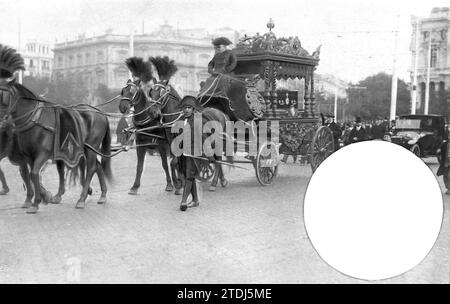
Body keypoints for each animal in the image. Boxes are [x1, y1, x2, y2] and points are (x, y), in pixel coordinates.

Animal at [0, 81, 112, 214]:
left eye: (2, 96)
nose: (2, 123)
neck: (34, 120)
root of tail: (100, 112)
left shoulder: (42, 154)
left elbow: (33, 174)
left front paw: (36, 201)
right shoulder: (29, 156)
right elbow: (32, 175)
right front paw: (42, 197)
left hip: (91, 147)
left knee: (91, 168)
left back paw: (82, 199)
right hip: (86, 148)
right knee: (97, 166)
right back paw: (103, 195)